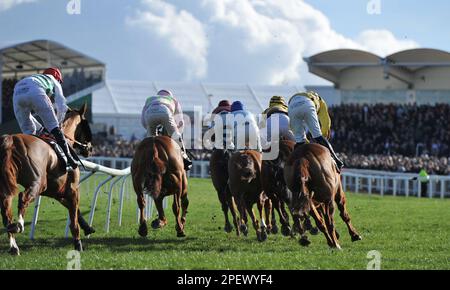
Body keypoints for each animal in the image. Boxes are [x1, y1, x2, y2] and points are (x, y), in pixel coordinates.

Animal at [0, 105, 93, 255]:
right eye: (87, 125)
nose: (90, 149)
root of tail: (12, 139)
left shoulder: (57, 192)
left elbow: (76, 211)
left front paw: (88, 228)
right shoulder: (73, 189)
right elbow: (73, 219)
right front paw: (78, 245)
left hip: (7, 183)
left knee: (6, 207)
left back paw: (14, 246)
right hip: (38, 182)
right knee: (22, 198)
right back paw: (19, 225)